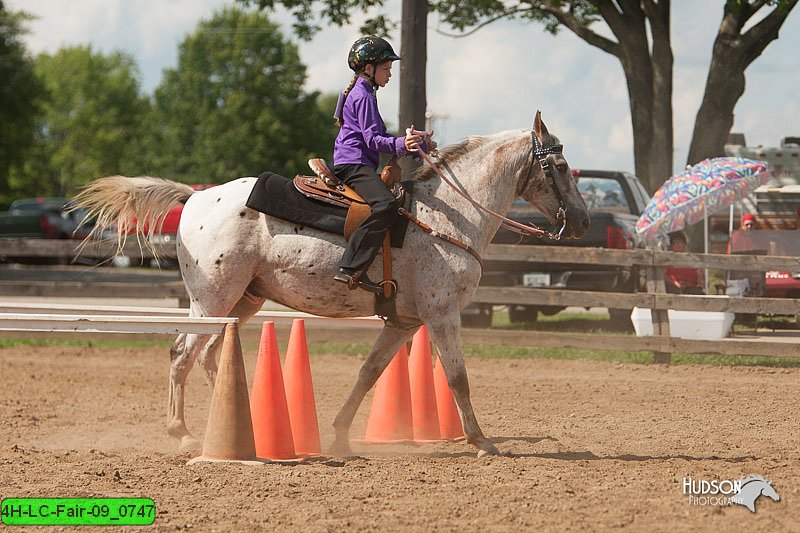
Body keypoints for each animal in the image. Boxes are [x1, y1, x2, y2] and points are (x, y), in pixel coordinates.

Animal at [75, 112, 588, 458]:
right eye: (561, 167)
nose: (582, 221)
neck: (448, 217)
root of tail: (196, 197)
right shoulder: (442, 315)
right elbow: (457, 377)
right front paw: (481, 441)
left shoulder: (404, 323)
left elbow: (369, 373)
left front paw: (340, 435)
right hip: (211, 299)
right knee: (181, 354)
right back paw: (181, 434)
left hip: (242, 301)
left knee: (208, 355)